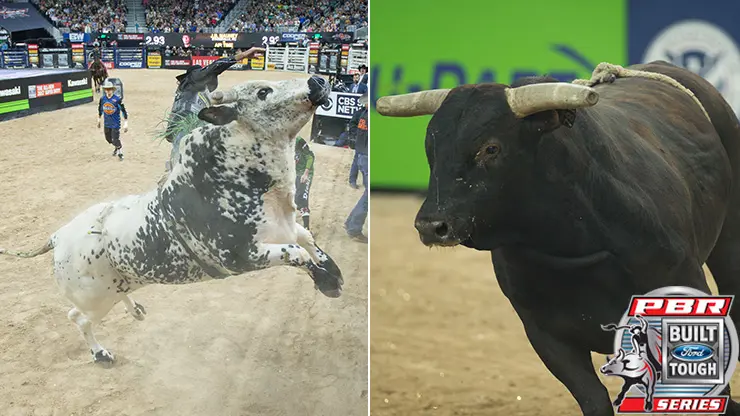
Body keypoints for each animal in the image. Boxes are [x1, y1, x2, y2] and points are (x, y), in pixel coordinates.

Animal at [0, 75, 343, 367]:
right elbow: (297, 254)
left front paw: (334, 275)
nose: (317, 81)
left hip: (121, 284)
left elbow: (308, 241)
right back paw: (101, 353)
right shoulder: (242, 257)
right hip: (95, 299)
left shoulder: (285, 227)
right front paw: (326, 281)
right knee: (78, 318)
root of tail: (58, 236)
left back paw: (135, 310)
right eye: (262, 92)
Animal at [375, 60, 740, 416]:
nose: (431, 225)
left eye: (491, 148)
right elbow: (594, 398)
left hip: (729, 244)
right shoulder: (545, 334)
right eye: (431, 148)